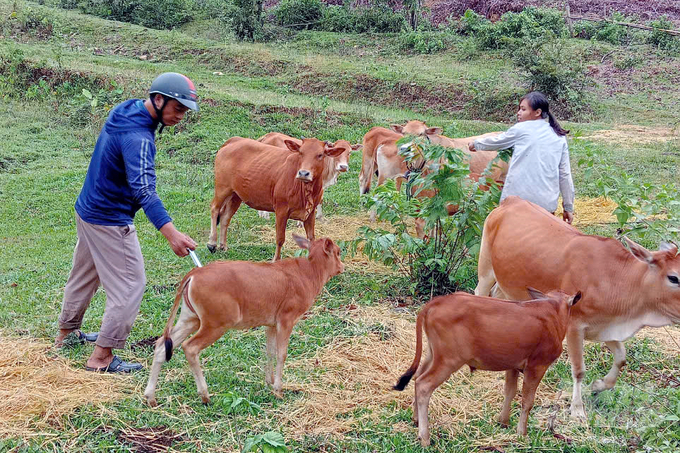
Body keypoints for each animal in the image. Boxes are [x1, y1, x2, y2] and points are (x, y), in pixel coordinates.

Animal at [144, 235, 346, 404]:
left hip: (190, 319)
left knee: (162, 345)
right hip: (215, 325)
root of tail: (194, 274)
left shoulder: (271, 324)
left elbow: (269, 352)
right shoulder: (286, 320)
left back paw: (150, 397)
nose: (342, 267)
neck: (308, 273)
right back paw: (204, 395)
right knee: (190, 347)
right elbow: (282, 354)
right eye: (338, 252)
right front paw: (278, 389)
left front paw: (269, 382)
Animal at [207, 136, 346, 260]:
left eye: (320, 155)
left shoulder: (310, 213)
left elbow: (311, 238)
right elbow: (280, 239)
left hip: (236, 195)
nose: (303, 173)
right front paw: (276, 259)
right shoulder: (281, 210)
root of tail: (233, 140)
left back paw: (223, 246)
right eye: (301, 153)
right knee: (214, 209)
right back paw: (212, 244)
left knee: (225, 217)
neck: (305, 190)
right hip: (222, 188)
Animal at [394, 288, 580, 444]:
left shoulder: (512, 364)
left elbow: (510, 392)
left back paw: (416, 419)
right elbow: (527, 401)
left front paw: (503, 422)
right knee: (424, 385)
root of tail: (437, 302)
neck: (553, 310)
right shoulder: (537, 366)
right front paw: (522, 433)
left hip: (433, 354)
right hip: (448, 360)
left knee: (417, 376)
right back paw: (425, 437)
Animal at [476, 196, 680, 418]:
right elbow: (579, 369)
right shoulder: (574, 326)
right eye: (674, 278)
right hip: (485, 268)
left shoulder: (604, 327)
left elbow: (621, 358)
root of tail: (512, 200)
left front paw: (598, 385)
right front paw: (577, 410)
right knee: (480, 292)